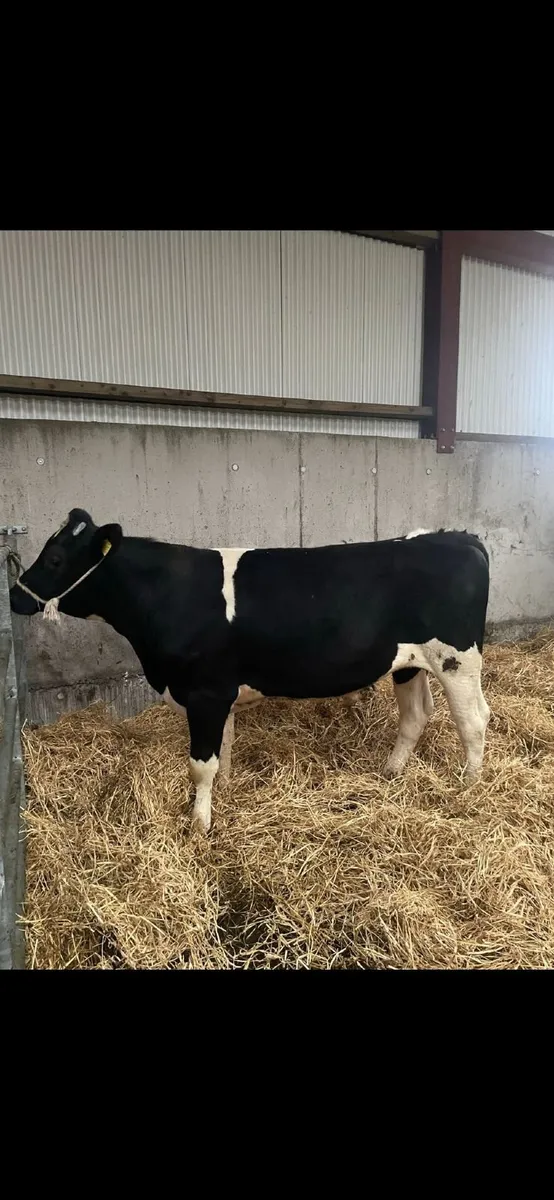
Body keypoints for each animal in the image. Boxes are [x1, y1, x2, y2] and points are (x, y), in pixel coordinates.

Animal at [9, 510, 490, 836]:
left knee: (473, 720)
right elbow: (223, 750)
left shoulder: (204, 692)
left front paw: (199, 823)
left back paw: (468, 786)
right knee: (416, 714)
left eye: (55, 559)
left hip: (458, 660)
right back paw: (391, 773)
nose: (14, 596)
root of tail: (455, 537)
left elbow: (200, 764)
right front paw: (221, 792)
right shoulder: (218, 694)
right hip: (409, 663)